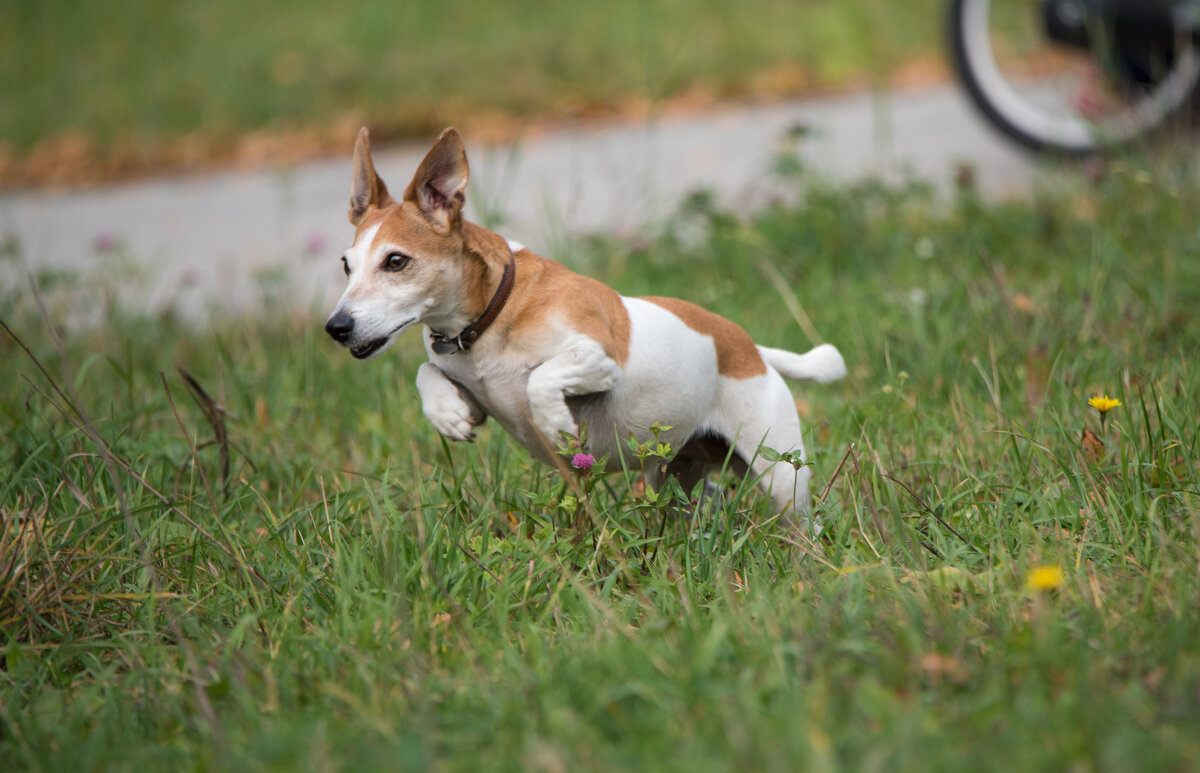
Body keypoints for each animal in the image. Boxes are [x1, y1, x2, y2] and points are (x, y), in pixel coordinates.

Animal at [321, 126, 844, 518]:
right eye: (346, 265)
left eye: (395, 261)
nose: (336, 327)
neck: (492, 317)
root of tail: (753, 350)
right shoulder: (465, 378)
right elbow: (427, 371)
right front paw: (446, 412)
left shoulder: (599, 358)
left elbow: (541, 380)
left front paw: (555, 424)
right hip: (675, 475)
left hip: (780, 475)